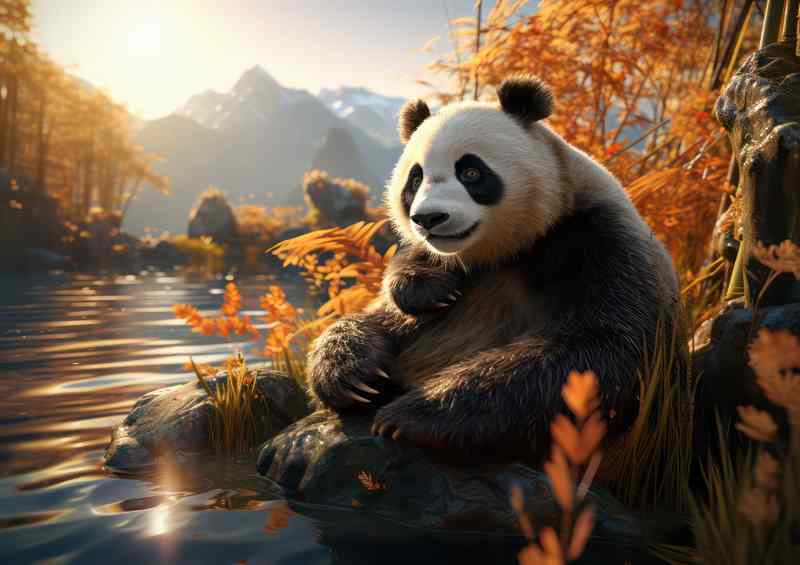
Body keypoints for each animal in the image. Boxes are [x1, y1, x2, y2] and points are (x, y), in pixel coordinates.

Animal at [306, 76, 680, 462]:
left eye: (471, 172)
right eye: (415, 179)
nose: (428, 218)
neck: (512, 249)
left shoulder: (599, 243)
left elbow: (597, 351)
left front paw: (414, 413)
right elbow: (393, 304)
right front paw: (426, 290)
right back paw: (352, 375)